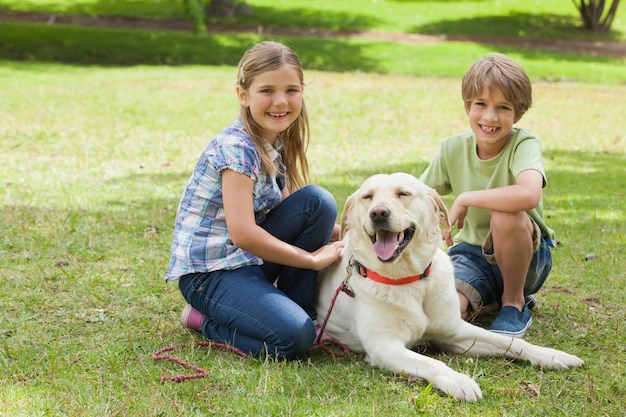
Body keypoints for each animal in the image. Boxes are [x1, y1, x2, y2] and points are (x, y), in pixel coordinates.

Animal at [314, 171, 584, 400]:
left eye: (403, 194)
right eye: (367, 197)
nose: (378, 213)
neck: (411, 279)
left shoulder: (455, 331)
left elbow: (510, 342)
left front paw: (551, 355)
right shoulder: (383, 345)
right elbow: (431, 362)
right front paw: (459, 381)